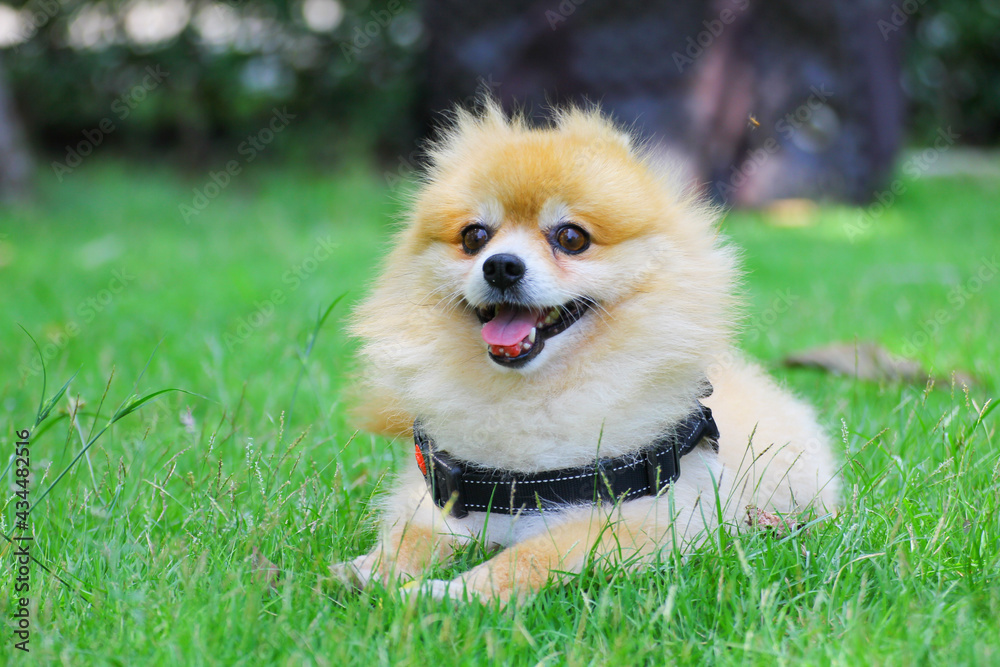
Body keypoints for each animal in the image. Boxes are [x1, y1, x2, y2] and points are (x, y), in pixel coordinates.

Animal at [338, 100, 844, 604]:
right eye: (474, 237)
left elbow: (531, 557)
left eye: (571, 238)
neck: (530, 396)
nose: (500, 266)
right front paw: (372, 570)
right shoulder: (442, 500)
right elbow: (410, 537)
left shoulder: (647, 520)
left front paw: (453, 594)